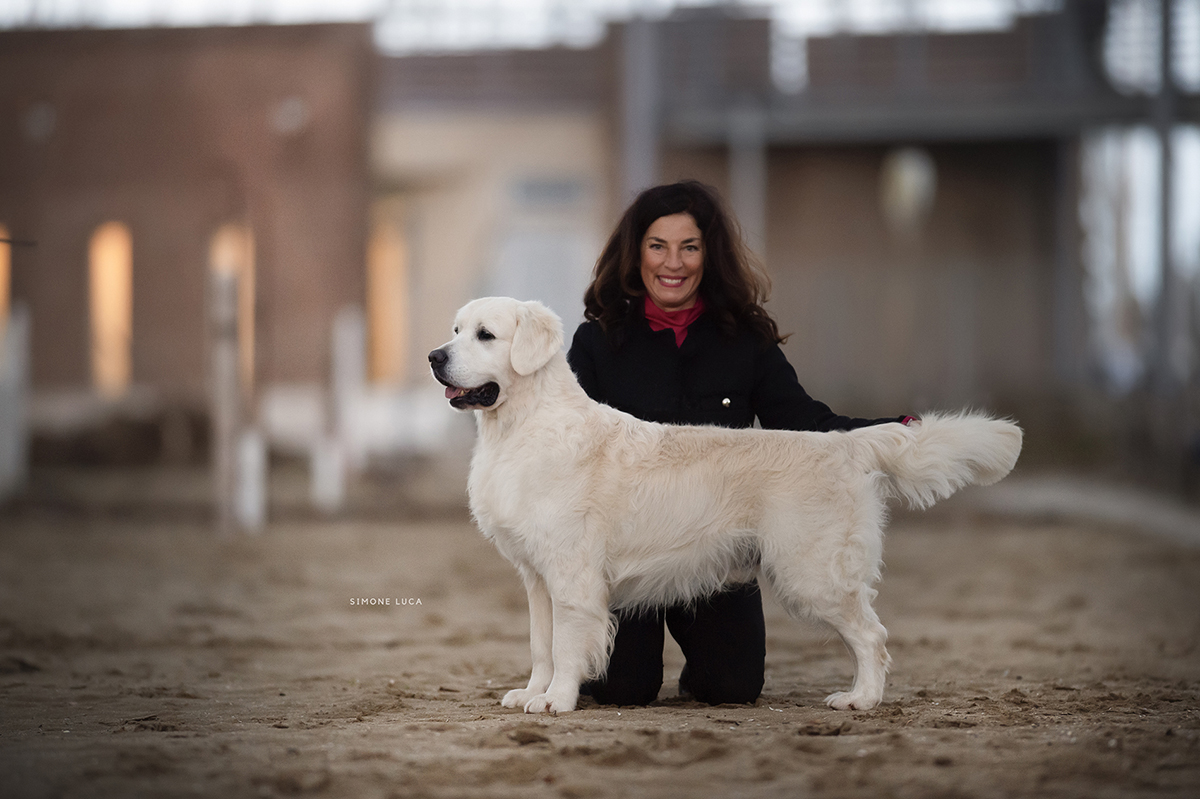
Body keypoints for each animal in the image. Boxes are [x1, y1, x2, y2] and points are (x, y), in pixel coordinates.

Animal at [427, 295, 1017, 710]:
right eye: (455, 330)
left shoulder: (572, 574)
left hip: (812, 572)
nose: (433, 356)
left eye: (485, 335)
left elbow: (568, 645)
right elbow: (540, 644)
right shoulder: (536, 577)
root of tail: (844, 442)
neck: (520, 427)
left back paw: (861, 699)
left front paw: (558, 701)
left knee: (872, 636)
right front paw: (533, 692)